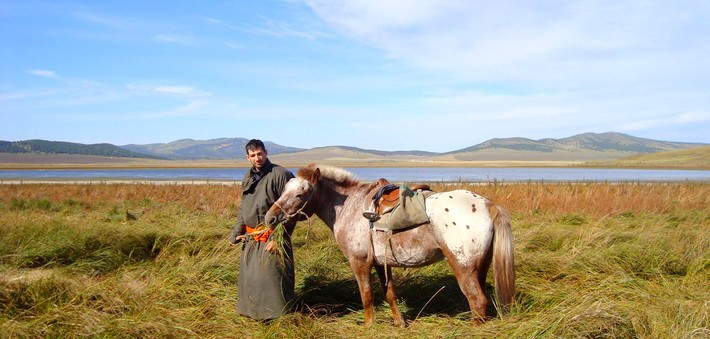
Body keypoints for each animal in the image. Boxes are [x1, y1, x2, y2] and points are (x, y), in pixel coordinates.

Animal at [264, 165, 516, 326]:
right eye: (283, 190)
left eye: (300, 194)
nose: (270, 218)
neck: (350, 207)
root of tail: (487, 204)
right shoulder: (380, 263)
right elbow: (390, 294)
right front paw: (399, 322)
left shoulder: (359, 263)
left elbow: (366, 296)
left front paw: (368, 326)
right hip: (480, 268)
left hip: (463, 268)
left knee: (477, 302)